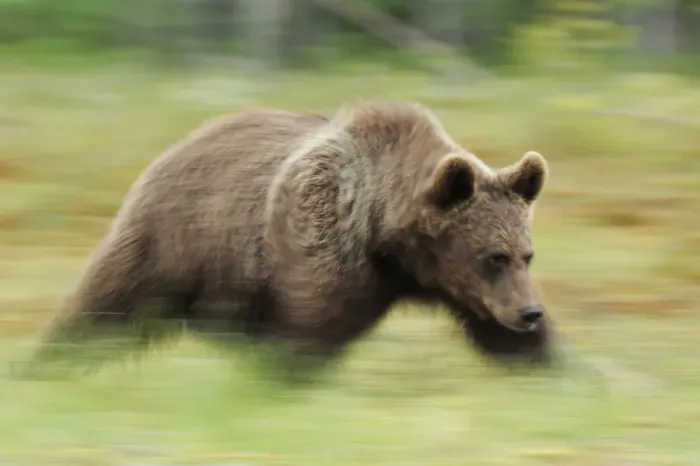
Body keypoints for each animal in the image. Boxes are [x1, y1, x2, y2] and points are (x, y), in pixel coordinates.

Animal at [18, 100, 560, 380]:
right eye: (493, 256)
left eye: (526, 255)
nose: (530, 312)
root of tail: (180, 144)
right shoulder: (324, 242)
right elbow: (309, 334)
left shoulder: (459, 287)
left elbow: (503, 340)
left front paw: (555, 370)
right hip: (176, 240)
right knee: (103, 308)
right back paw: (43, 367)